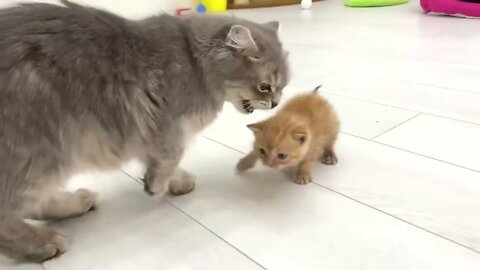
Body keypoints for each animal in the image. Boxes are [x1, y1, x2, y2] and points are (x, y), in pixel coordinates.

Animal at [0, 0, 288, 262]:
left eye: (283, 86)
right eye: (264, 87)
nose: (275, 103)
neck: (194, 62)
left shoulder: (146, 134)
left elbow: (160, 161)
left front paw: (174, 182)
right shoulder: (166, 125)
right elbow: (169, 158)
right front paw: (157, 187)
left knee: (35, 205)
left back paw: (78, 203)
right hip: (40, 154)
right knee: (10, 216)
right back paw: (44, 243)